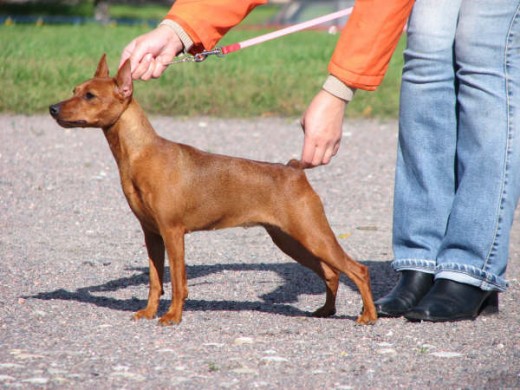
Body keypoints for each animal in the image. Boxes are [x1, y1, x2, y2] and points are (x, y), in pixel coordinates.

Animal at [48, 53, 376, 324]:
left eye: (90, 95)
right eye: (74, 90)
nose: (52, 108)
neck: (140, 153)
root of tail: (294, 168)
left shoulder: (173, 232)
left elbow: (178, 282)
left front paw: (172, 316)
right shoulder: (152, 233)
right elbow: (155, 280)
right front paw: (149, 312)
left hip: (312, 234)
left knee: (357, 269)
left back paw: (368, 316)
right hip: (290, 240)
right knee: (331, 272)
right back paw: (326, 310)